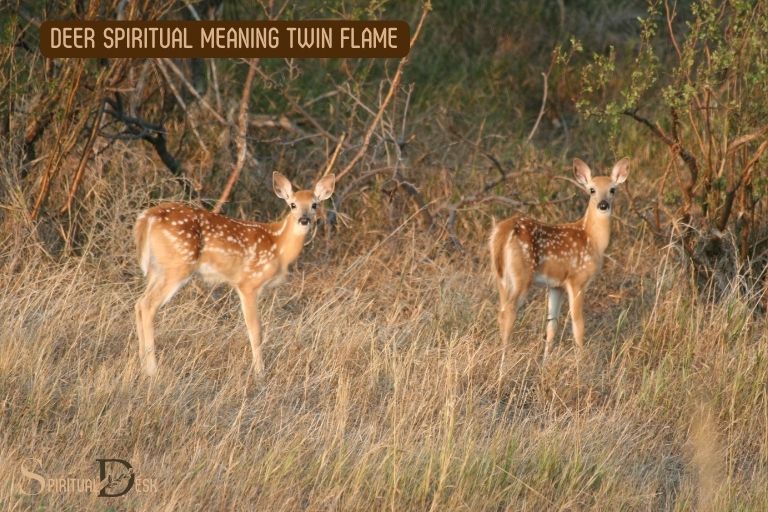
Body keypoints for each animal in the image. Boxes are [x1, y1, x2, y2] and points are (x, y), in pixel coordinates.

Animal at [134, 172, 335, 377]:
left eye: (314, 204)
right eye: (292, 204)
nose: (304, 220)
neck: (278, 245)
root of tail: (146, 218)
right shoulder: (248, 283)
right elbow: (255, 330)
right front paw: (260, 373)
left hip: (157, 269)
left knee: (139, 303)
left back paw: (142, 366)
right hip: (177, 265)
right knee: (148, 305)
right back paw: (152, 370)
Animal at [489, 157, 630, 359]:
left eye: (613, 189)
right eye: (591, 190)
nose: (603, 205)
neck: (592, 239)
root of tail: (501, 232)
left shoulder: (556, 286)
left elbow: (552, 325)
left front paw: (545, 360)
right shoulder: (577, 280)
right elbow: (578, 325)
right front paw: (581, 361)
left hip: (500, 276)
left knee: (501, 309)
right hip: (521, 275)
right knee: (507, 312)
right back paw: (504, 358)